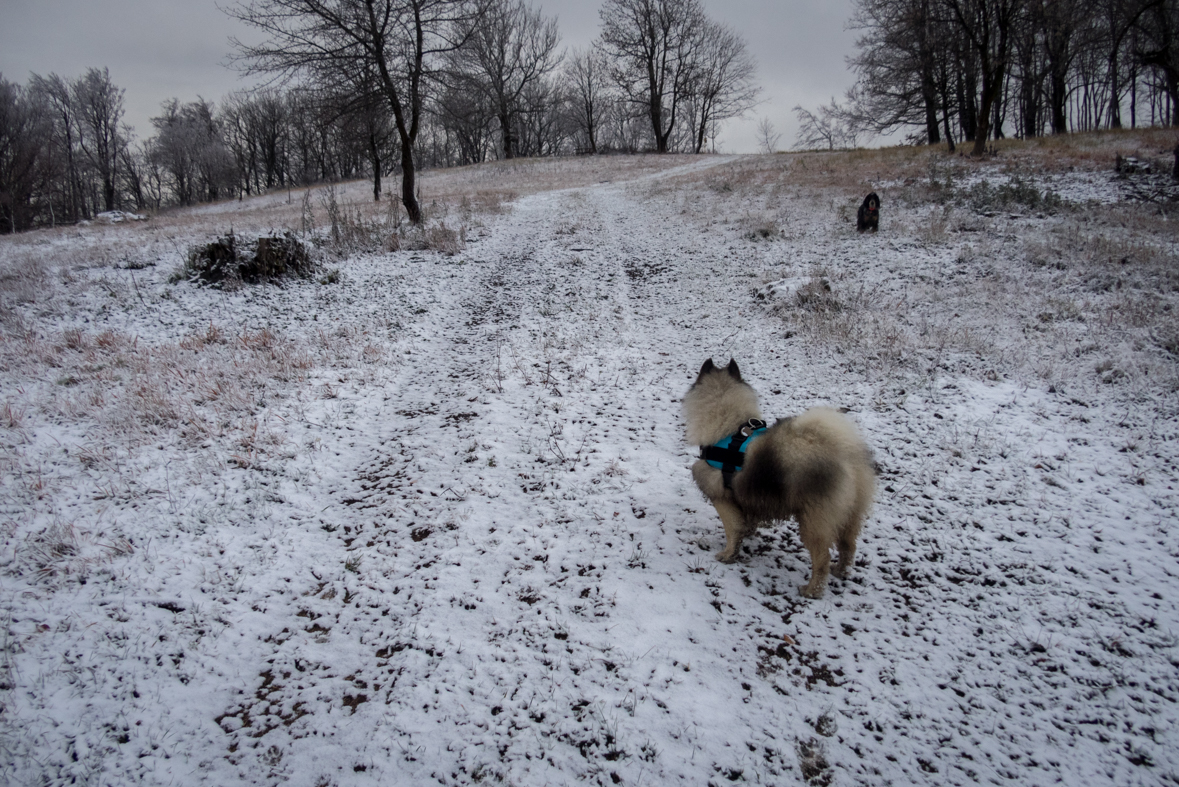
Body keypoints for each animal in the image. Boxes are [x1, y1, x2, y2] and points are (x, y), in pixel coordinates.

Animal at [683, 360, 877, 598]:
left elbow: (733, 529)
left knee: (822, 558)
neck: (729, 430)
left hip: (813, 522)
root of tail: (847, 457)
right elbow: (746, 523)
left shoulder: (722, 498)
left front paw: (728, 555)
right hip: (850, 516)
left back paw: (812, 590)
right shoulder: (746, 497)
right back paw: (840, 571)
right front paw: (747, 536)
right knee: (848, 547)